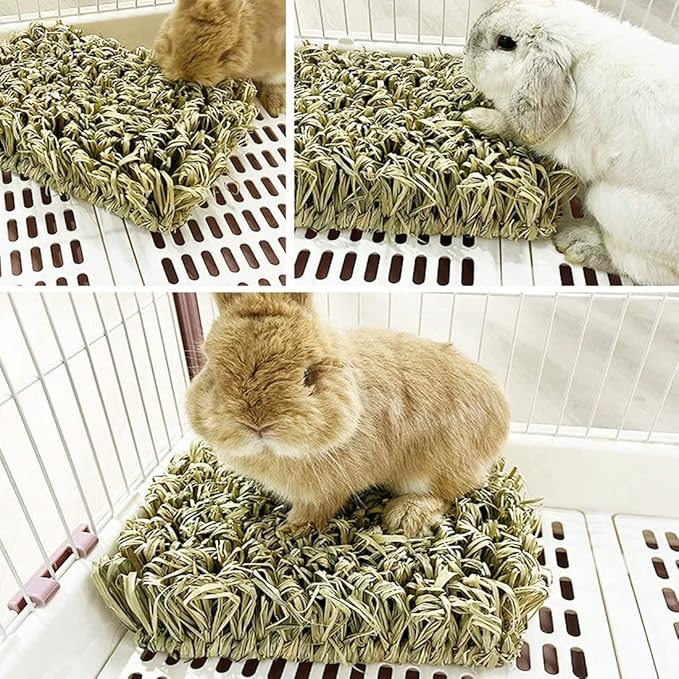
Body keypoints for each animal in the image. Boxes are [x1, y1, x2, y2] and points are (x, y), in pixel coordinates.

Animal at [186, 293, 510, 538]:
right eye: (213, 370)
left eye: (308, 374)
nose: (258, 423)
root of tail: (503, 420)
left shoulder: (326, 489)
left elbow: (316, 509)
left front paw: (289, 531)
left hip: (435, 468)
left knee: (448, 495)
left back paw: (404, 516)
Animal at [462, 0, 679, 285]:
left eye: (505, 42)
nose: (466, 53)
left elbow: (511, 127)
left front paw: (477, 118)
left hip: (616, 209)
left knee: (639, 268)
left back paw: (575, 242)